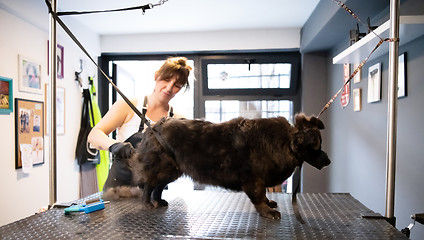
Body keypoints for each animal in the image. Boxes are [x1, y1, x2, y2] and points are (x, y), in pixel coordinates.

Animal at [127, 113, 330, 218]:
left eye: (321, 145)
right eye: (316, 148)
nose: (328, 161)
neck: (284, 143)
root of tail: (154, 127)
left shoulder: (259, 180)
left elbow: (264, 195)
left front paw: (269, 203)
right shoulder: (253, 181)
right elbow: (259, 196)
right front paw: (267, 211)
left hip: (172, 170)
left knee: (158, 186)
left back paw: (158, 200)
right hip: (162, 167)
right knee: (149, 184)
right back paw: (147, 203)